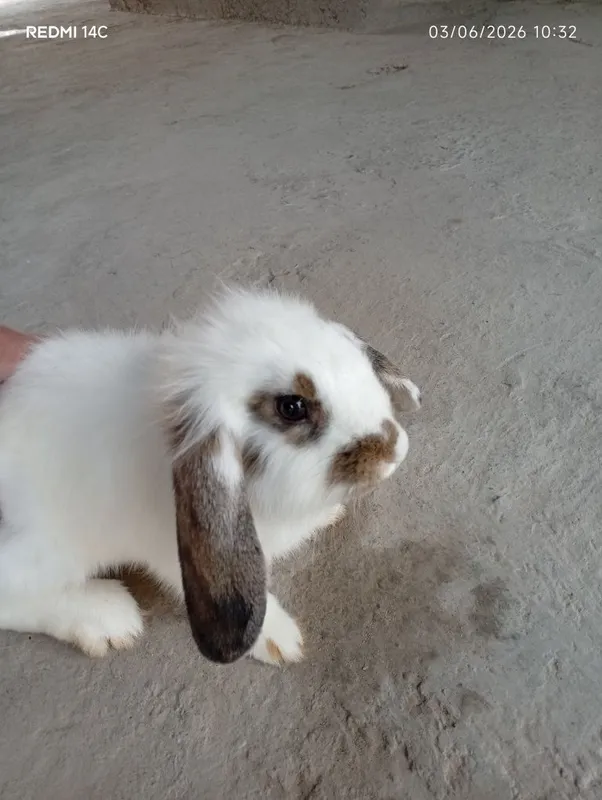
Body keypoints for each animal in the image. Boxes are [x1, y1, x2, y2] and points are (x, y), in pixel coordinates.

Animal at [0, 287, 421, 666]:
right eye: (292, 407)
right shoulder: (173, 554)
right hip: (51, 552)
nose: (395, 449)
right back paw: (108, 618)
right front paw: (280, 641)